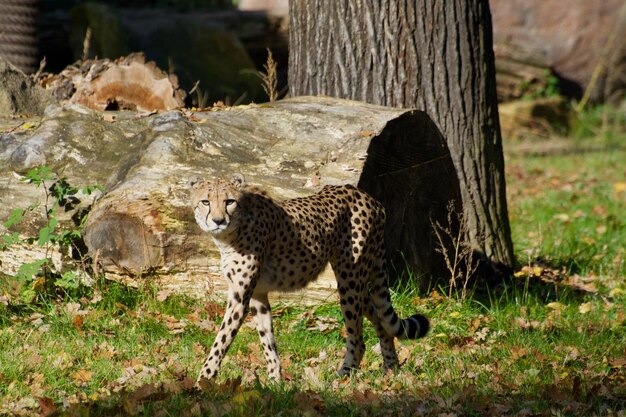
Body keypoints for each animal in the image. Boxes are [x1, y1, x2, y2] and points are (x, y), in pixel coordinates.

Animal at [188, 173, 426, 384]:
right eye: (205, 202)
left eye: (229, 201)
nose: (218, 221)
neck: (231, 232)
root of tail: (368, 197)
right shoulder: (257, 295)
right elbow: (267, 342)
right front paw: (275, 383)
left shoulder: (240, 298)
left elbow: (221, 341)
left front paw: (202, 382)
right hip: (358, 281)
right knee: (380, 319)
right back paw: (391, 369)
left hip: (349, 279)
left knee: (358, 339)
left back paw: (342, 377)